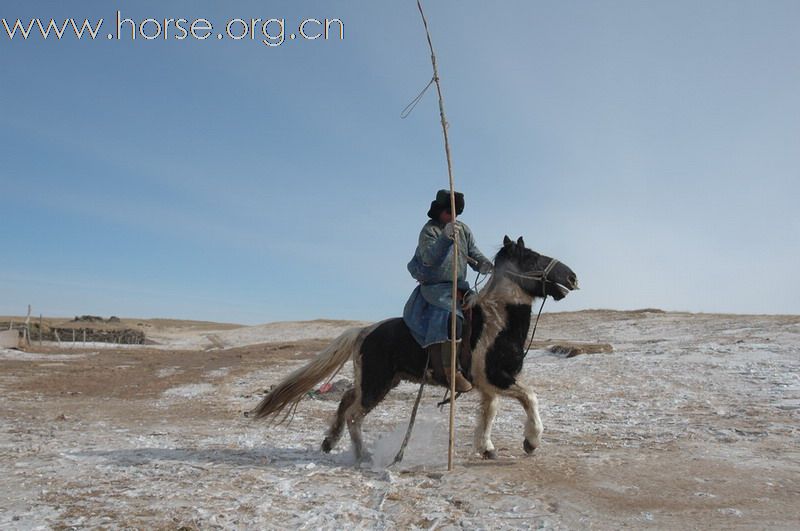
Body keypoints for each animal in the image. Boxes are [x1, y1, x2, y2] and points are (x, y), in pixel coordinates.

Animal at [250, 237, 576, 462]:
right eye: (533, 258)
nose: (572, 277)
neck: (496, 321)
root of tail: (363, 332)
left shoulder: (488, 384)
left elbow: (490, 412)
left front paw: (486, 448)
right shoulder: (497, 377)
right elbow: (530, 397)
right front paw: (531, 441)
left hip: (376, 380)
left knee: (345, 400)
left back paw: (330, 441)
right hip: (376, 384)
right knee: (355, 414)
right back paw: (363, 455)